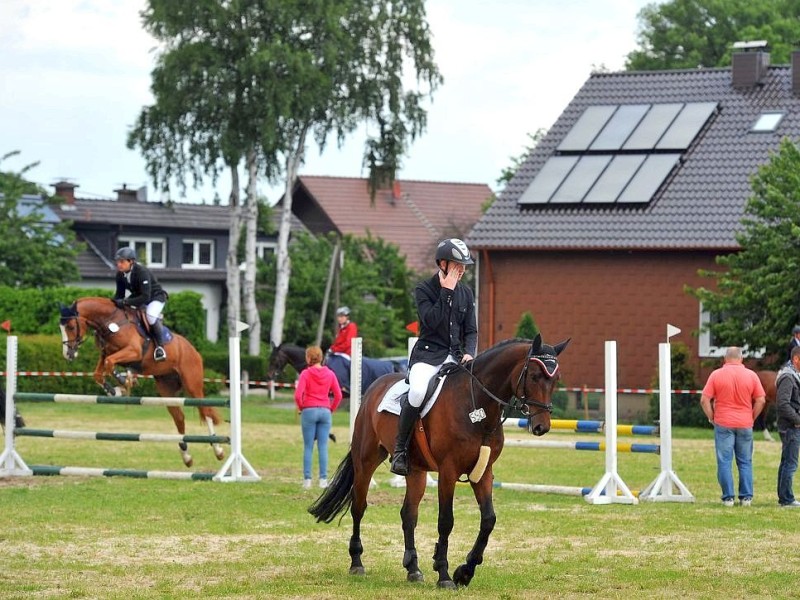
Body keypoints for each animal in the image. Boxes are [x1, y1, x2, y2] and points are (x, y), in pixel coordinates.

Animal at [58, 296, 225, 468]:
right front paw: (115, 390)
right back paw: (186, 456)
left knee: (206, 413)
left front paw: (124, 382)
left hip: (193, 386)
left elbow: (110, 364)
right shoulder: (105, 354)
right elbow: (99, 372)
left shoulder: (133, 351)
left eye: (71, 326)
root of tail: (194, 350)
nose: (68, 354)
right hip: (166, 389)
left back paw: (218, 450)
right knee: (179, 418)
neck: (111, 321)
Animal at [306, 336, 568, 588]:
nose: (542, 426)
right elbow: (446, 521)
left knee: (408, 514)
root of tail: (375, 386)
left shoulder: (483, 472)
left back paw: (413, 569)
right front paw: (444, 575)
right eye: (534, 376)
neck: (477, 405)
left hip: (416, 471)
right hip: (366, 461)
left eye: (555, 380)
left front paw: (465, 572)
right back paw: (357, 563)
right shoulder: (448, 471)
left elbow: (488, 520)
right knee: (359, 507)